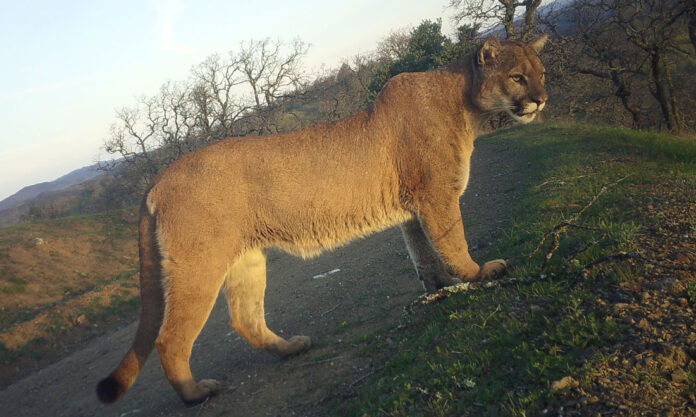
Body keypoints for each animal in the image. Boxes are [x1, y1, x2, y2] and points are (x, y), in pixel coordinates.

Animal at [97, 35, 548, 406]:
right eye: (518, 77)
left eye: (541, 73)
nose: (542, 99)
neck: (464, 102)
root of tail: (158, 179)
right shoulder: (436, 197)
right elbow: (453, 241)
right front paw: (478, 273)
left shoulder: (414, 208)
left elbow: (423, 253)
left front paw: (440, 287)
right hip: (199, 266)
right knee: (170, 339)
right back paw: (196, 392)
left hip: (246, 259)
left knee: (244, 318)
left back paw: (290, 348)